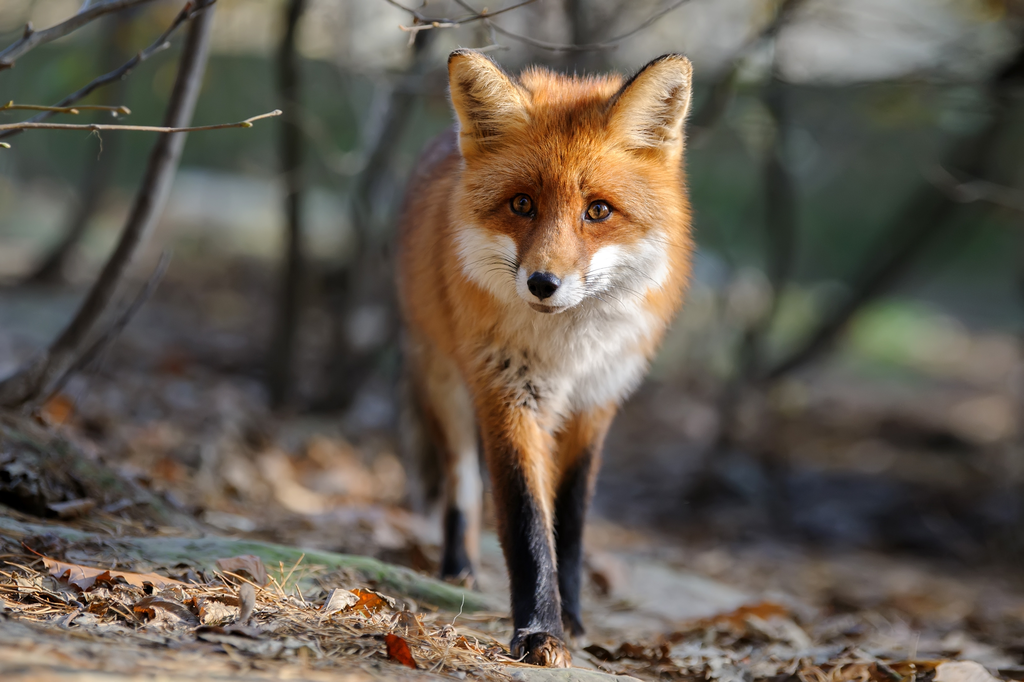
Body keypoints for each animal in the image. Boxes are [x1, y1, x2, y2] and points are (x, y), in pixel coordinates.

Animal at [393, 50, 696, 667]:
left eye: (598, 210)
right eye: (522, 204)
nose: (542, 283)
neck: (568, 354)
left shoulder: (596, 403)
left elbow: (571, 521)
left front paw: (573, 619)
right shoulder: (508, 394)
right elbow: (527, 521)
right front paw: (539, 632)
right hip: (443, 382)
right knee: (462, 481)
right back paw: (458, 568)